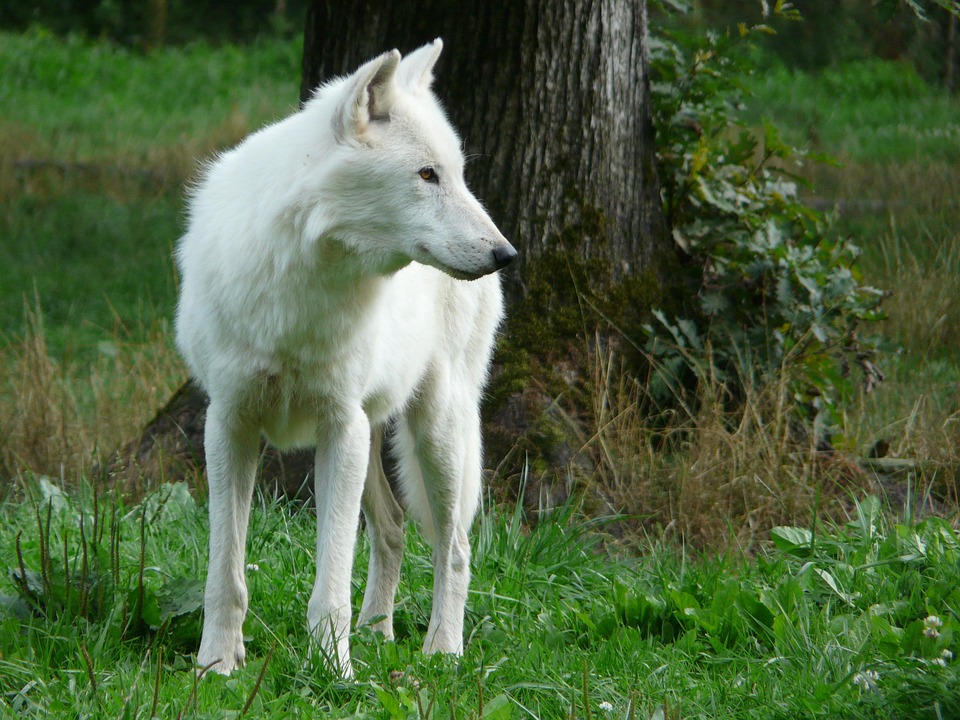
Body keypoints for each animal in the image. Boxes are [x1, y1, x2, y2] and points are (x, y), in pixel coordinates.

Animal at [174, 39, 515, 677]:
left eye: (455, 174)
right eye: (427, 174)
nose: (507, 253)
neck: (304, 283)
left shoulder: (339, 427)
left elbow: (330, 579)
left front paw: (333, 672)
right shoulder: (229, 425)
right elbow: (224, 574)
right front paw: (216, 667)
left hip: (435, 432)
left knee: (455, 547)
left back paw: (442, 651)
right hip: (375, 430)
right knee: (395, 528)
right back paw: (377, 631)